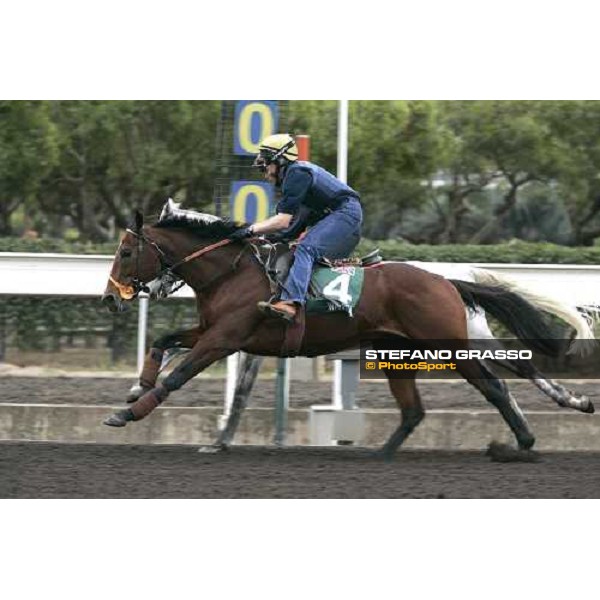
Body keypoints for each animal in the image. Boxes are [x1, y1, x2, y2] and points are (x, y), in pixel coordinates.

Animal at [101, 209, 592, 458]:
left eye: (125, 252)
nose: (108, 298)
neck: (233, 272)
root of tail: (445, 281)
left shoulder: (223, 339)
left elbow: (179, 377)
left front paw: (128, 413)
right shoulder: (212, 331)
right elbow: (163, 342)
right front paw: (135, 387)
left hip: (447, 344)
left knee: (495, 385)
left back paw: (525, 441)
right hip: (399, 351)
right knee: (417, 408)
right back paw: (378, 454)